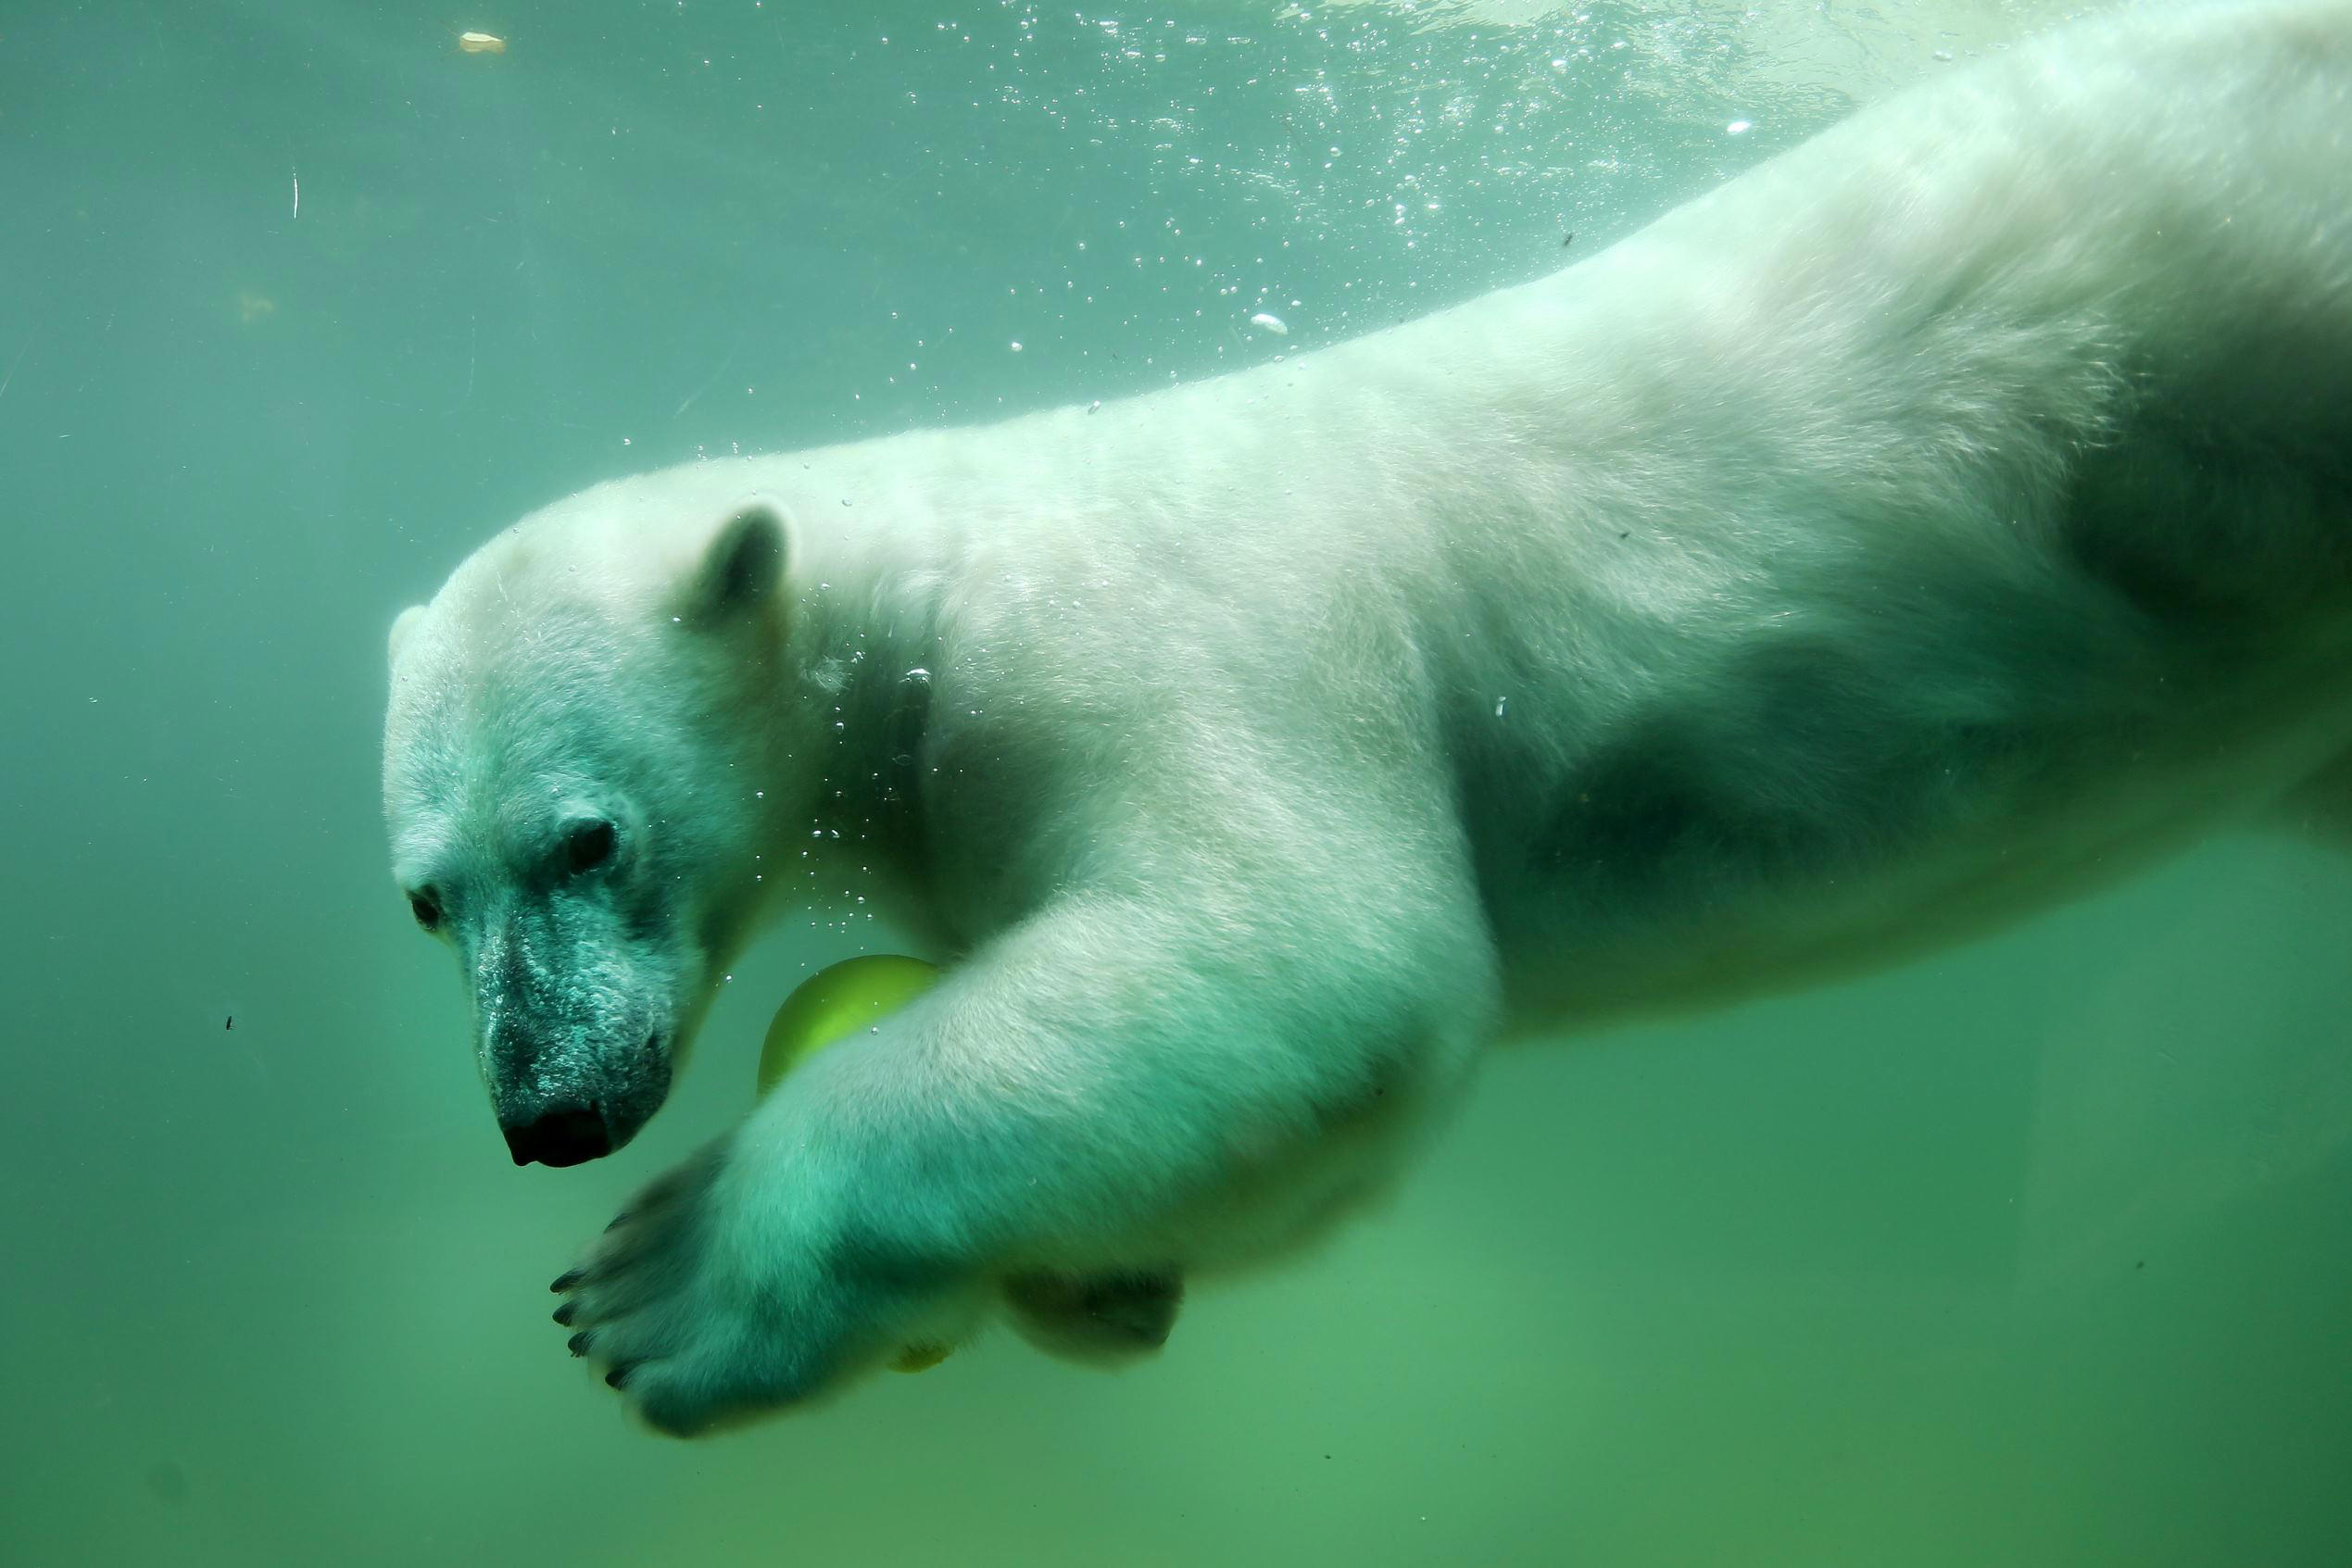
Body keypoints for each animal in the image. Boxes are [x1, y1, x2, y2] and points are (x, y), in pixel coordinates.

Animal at [385, 0, 2352, 1438]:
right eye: (424, 895)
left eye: (587, 834)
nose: (547, 1113)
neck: (927, 571)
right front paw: (1104, 1282)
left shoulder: (1147, 640)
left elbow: (1299, 961)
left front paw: (663, 1282)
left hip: (2221, 270)